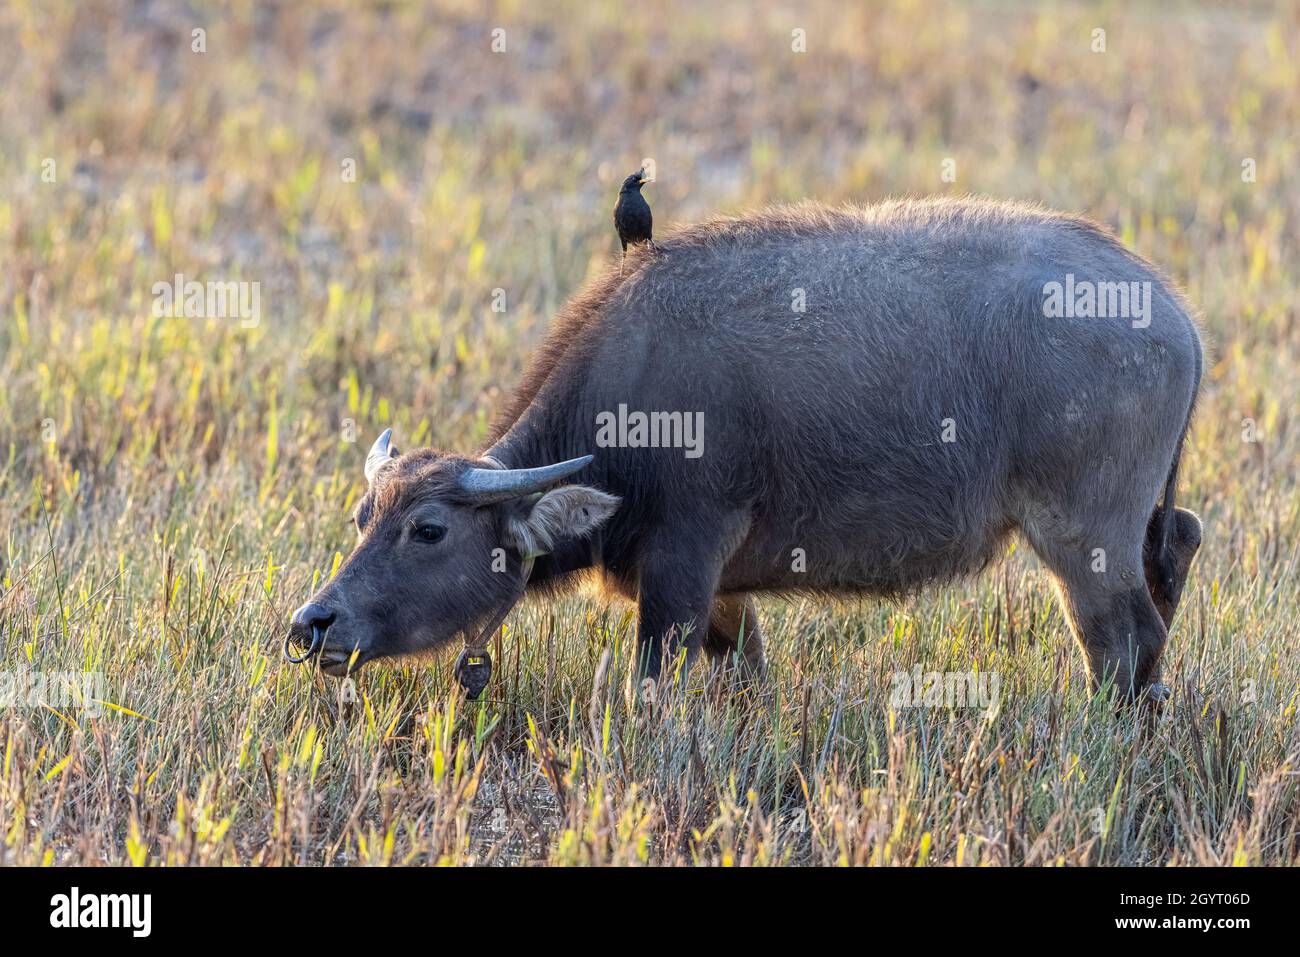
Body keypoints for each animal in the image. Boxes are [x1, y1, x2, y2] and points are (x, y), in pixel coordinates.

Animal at [289, 196, 1201, 702]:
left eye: (429, 529)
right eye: (363, 515)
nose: (311, 623)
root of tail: (1174, 315)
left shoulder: (682, 567)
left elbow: (650, 685)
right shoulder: (723, 593)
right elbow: (745, 676)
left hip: (1084, 538)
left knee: (1125, 642)